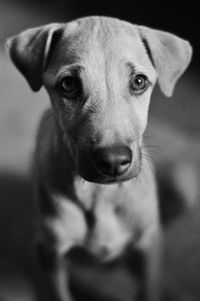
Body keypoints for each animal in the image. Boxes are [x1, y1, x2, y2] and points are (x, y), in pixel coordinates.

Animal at [5, 16, 191, 300]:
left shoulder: (149, 250)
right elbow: (60, 292)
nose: (113, 161)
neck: (101, 196)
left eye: (139, 82)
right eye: (68, 84)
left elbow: (148, 289)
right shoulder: (52, 255)